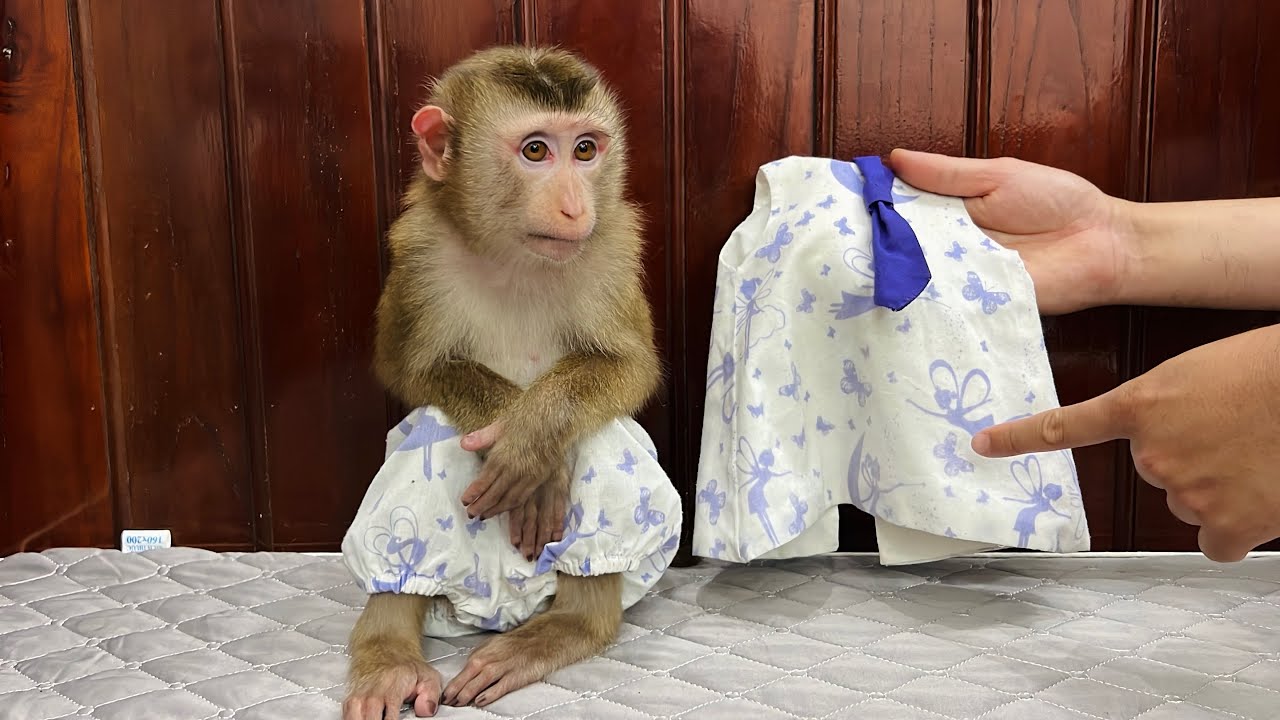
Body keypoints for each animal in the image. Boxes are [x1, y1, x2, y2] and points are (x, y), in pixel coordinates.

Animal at [339, 45, 682, 719]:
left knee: (603, 433)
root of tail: (506, 609)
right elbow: (408, 368)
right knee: (432, 425)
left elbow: (629, 367)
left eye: (585, 149)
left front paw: (532, 440)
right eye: (535, 151)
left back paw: (568, 626)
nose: (576, 206)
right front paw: (523, 446)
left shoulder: (614, 248)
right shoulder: (417, 249)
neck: (515, 255)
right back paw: (390, 649)